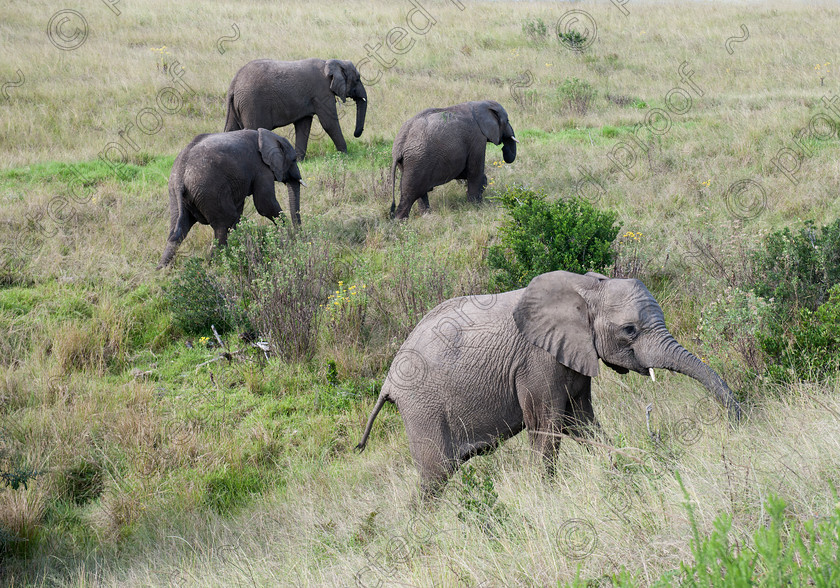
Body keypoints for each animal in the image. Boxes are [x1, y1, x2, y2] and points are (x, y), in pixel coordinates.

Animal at [156, 129, 304, 268]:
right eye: (294, 160)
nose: (299, 235)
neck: (265, 135)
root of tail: (181, 175)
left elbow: (241, 210)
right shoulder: (261, 169)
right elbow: (265, 205)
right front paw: (287, 234)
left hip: (176, 194)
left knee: (179, 229)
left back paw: (162, 270)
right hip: (209, 189)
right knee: (224, 222)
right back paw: (217, 264)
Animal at [356, 272, 740, 496]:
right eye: (629, 330)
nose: (736, 421)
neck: (588, 287)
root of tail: (388, 381)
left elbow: (579, 422)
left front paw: (624, 464)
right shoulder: (537, 361)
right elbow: (546, 425)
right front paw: (546, 496)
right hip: (423, 406)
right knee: (435, 476)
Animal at [388, 100, 520, 219]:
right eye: (507, 120)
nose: (504, 148)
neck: (480, 104)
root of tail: (399, 146)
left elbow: (463, 171)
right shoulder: (477, 138)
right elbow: (474, 171)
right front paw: (475, 207)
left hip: (410, 162)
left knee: (419, 192)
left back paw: (426, 215)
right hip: (417, 160)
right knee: (410, 193)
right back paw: (401, 221)